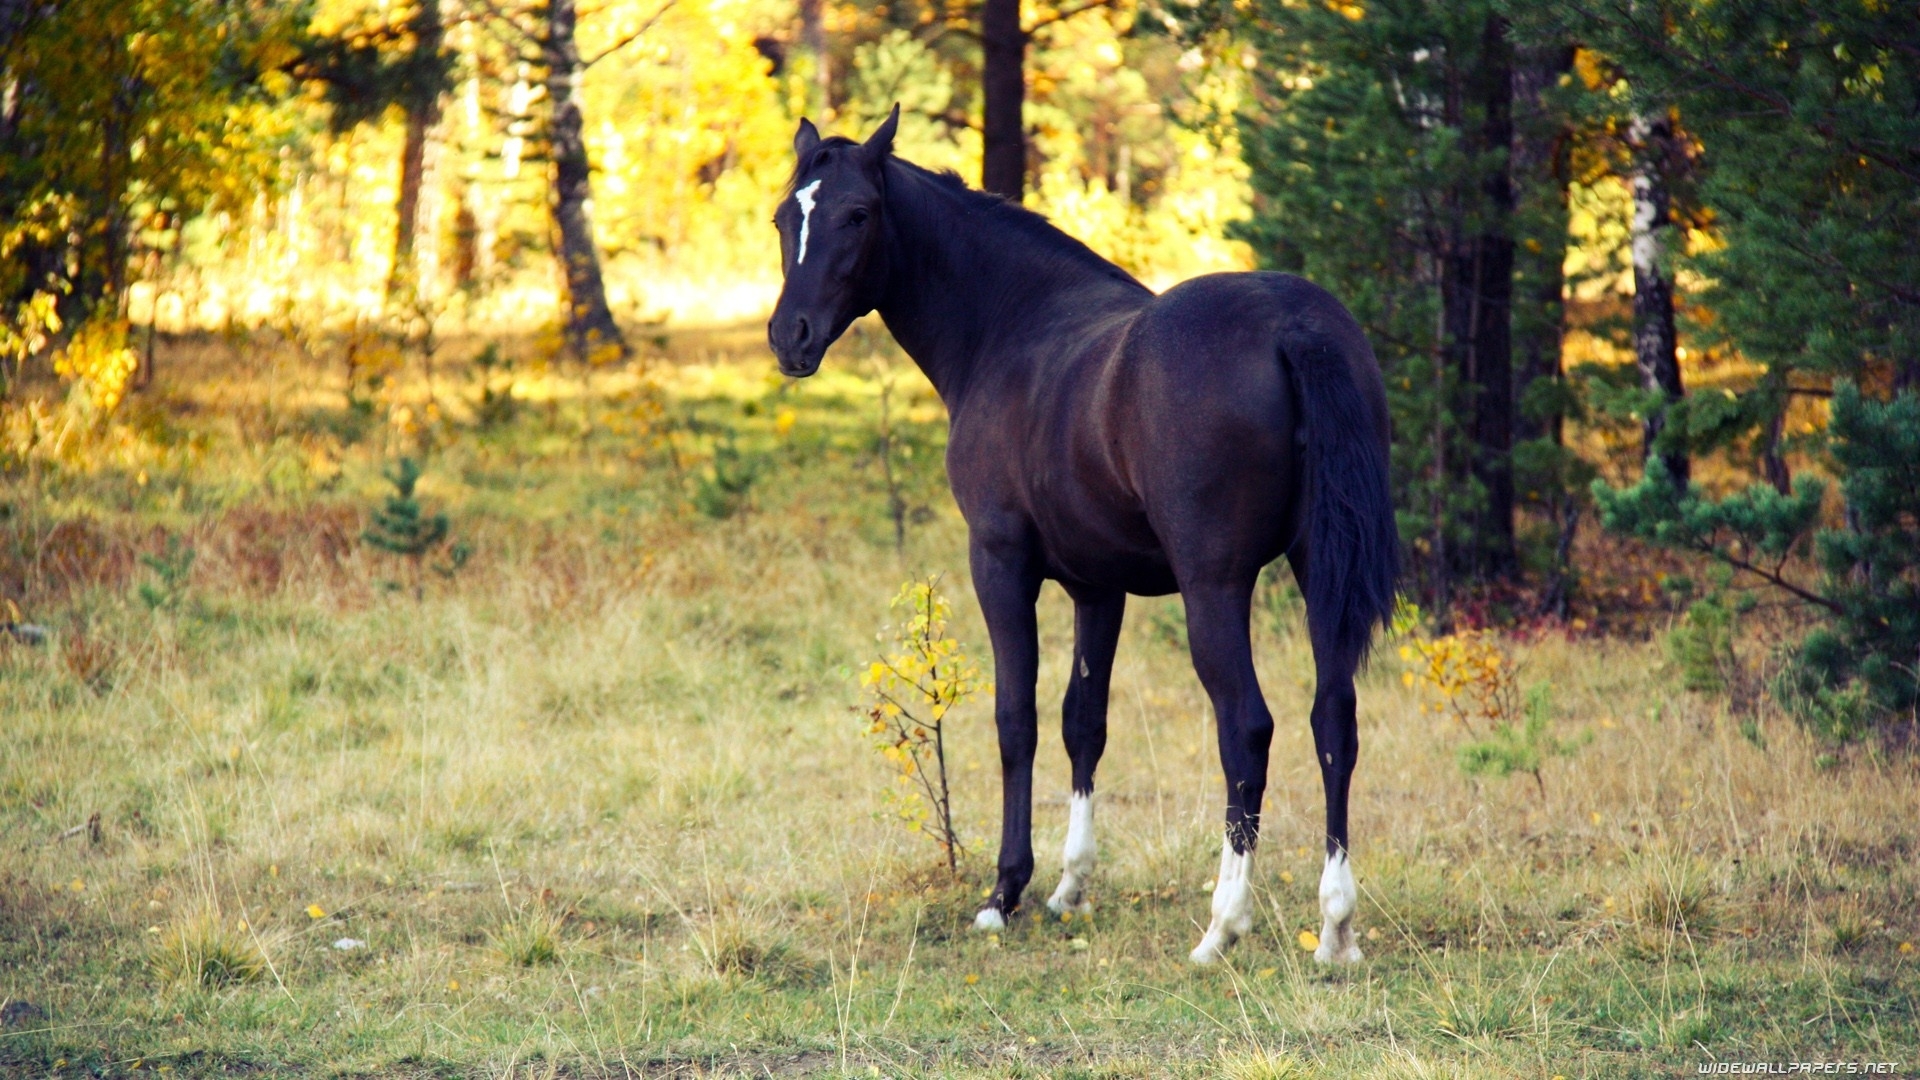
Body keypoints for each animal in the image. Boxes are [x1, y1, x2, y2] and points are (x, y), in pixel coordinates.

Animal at [764, 109, 1397, 957]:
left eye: (857, 214)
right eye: (783, 218)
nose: (790, 337)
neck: (1011, 328)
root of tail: (1295, 325)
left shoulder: (1000, 564)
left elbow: (1017, 719)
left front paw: (1005, 890)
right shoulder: (1100, 586)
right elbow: (1083, 723)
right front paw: (1070, 886)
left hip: (1216, 587)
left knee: (1246, 728)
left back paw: (1221, 926)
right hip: (1318, 570)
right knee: (1335, 720)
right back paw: (1335, 928)